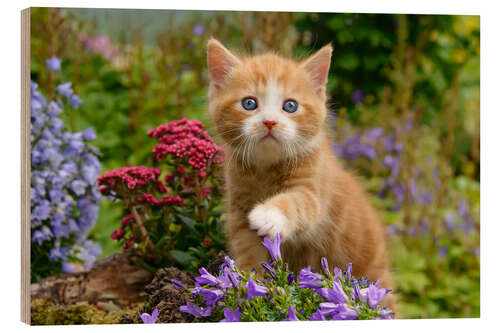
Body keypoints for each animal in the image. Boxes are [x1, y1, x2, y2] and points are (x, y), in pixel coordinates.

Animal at [206, 39, 394, 308]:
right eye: (249, 103)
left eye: (290, 106)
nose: (270, 122)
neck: (266, 169)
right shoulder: (238, 209)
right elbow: (248, 250)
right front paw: (249, 287)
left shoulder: (315, 187)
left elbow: (299, 202)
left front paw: (268, 215)